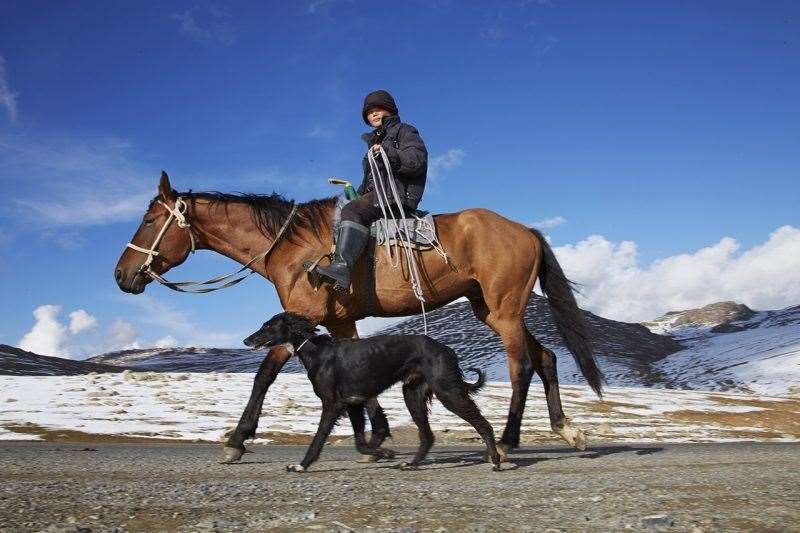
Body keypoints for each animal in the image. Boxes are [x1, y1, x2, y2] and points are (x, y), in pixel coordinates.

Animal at [242, 312, 500, 470]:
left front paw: (301, 465)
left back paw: (496, 460)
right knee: (427, 436)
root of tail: (447, 349)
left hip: (447, 391)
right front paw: (384, 453)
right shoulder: (353, 404)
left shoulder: (332, 404)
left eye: (267, 326)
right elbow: (360, 442)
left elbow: (318, 439)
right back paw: (412, 464)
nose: (246, 340)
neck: (314, 350)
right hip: (412, 393)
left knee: (483, 424)